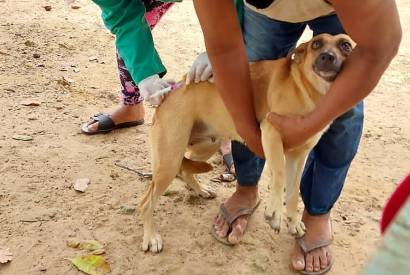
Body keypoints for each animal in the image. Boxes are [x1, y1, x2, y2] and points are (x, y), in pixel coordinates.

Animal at [139, 33, 354, 253]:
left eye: (346, 45)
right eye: (316, 43)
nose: (327, 57)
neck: (309, 91)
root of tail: (172, 90)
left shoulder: (298, 156)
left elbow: (294, 192)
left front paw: (293, 221)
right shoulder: (271, 133)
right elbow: (279, 174)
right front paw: (275, 212)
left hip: (208, 145)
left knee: (186, 168)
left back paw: (200, 190)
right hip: (169, 161)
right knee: (146, 203)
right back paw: (151, 237)